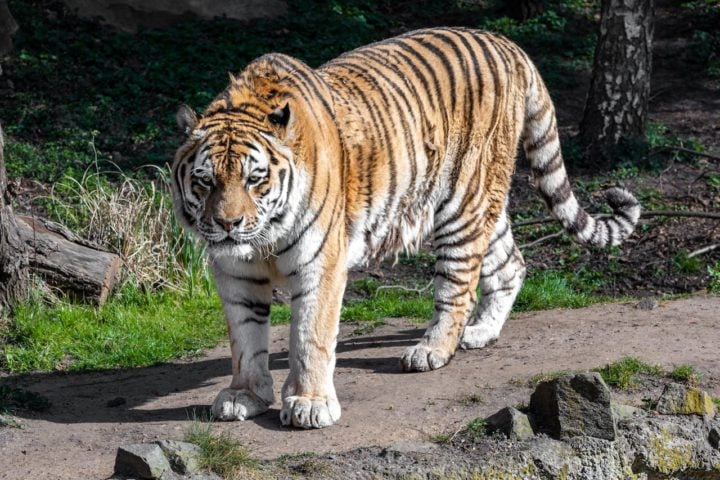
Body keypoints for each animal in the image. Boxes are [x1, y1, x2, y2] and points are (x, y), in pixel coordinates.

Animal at [171, 27, 640, 429]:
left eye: (255, 179)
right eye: (206, 181)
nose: (228, 224)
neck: (262, 240)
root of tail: (506, 43)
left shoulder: (320, 265)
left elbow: (310, 336)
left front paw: (310, 403)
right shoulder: (236, 274)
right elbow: (244, 339)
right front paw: (244, 396)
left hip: (461, 203)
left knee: (458, 287)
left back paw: (432, 349)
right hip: (482, 204)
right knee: (512, 264)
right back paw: (481, 333)